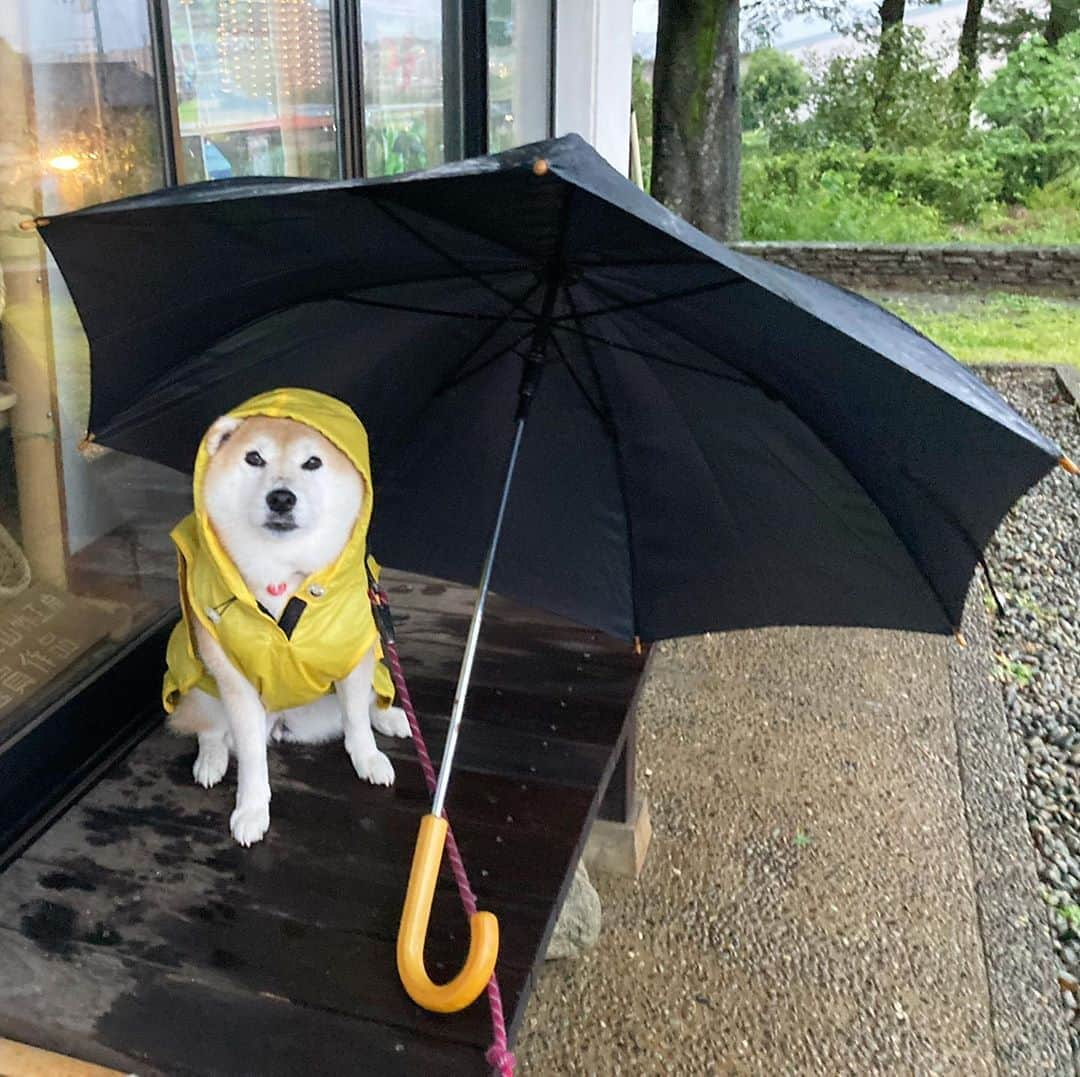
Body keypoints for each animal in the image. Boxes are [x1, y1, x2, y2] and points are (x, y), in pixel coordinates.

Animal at [163, 391, 408, 846]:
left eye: (312, 462)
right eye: (253, 458)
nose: (281, 497)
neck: (282, 576)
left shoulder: (353, 655)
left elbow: (356, 720)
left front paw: (368, 758)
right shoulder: (236, 681)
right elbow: (251, 758)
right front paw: (252, 808)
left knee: (368, 700)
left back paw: (390, 715)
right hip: (199, 681)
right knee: (208, 727)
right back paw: (211, 759)